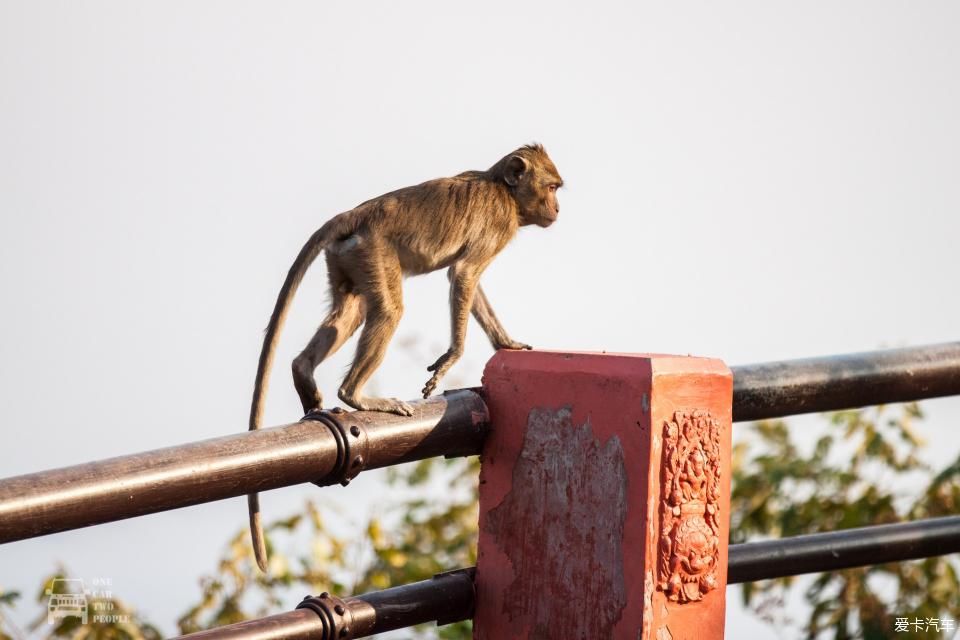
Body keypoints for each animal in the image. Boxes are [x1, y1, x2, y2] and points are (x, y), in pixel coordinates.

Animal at [246, 141, 564, 568]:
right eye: (552, 188)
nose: (557, 209)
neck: (502, 189)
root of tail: (356, 213)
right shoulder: (498, 226)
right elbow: (464, 274)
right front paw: (452, 357)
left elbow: (471, 285)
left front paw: (505, 343)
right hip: (373, 252)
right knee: (389, 311)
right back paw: (356, 395)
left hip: (345, 257)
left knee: (352, 311)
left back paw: (305, 373)